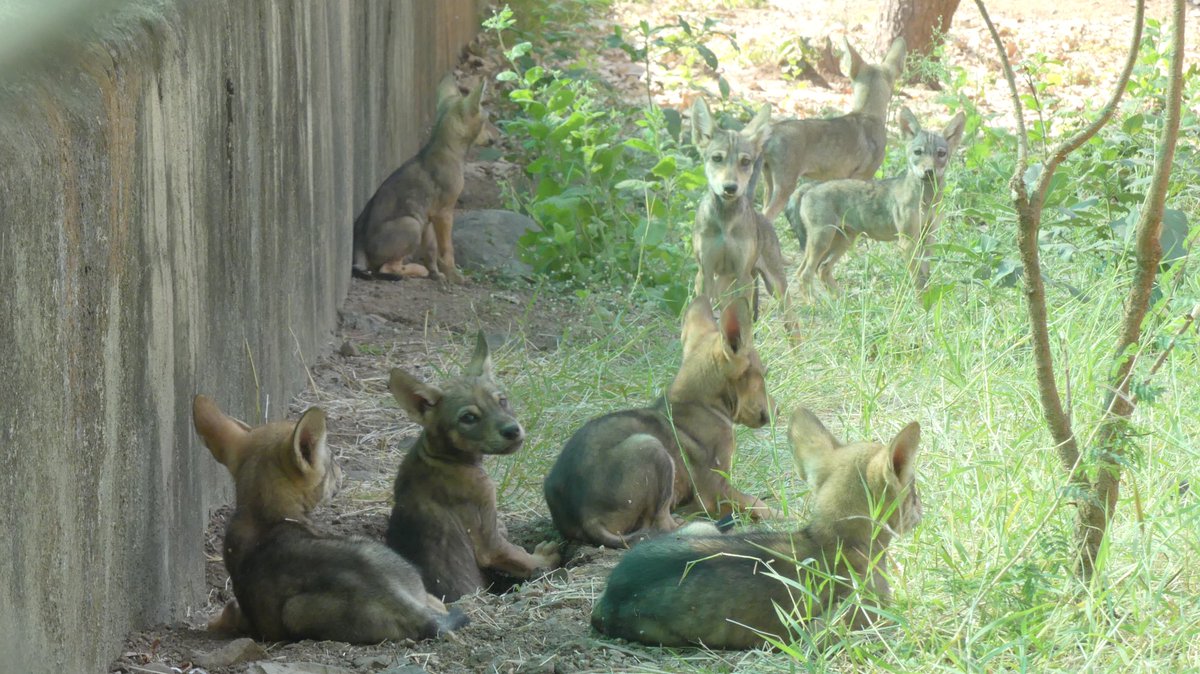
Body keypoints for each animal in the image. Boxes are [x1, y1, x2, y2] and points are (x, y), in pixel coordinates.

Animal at [352, 75, 485, 283]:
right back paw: (414, 270)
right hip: (411, 224)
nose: (495, 137)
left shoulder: (428, 217)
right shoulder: (444, 212)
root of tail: (357, 238)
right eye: (486, 120)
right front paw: (455, 276)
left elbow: (432, 251)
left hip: (417, 223)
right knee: (385, 269)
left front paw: (437, 274)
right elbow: (447, 250)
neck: (447, 149)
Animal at [386, 332, 561, 602]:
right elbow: (519, 556)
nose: (513, 430)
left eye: (502, 401)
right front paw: (544, 559)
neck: (444, 457)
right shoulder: (488, 540)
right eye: (468, 418)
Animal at [543, 296, 778, 549]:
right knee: (662, 523)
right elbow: (761, 505)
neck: (702, 403)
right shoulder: (715, 490)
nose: (777, 410)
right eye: (764, 375)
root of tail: (588, 518)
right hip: (652, 448)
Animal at [591, 407, 923, 649]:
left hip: (697, 528)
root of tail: (606, 599)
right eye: (914, 490)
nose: (922, 511)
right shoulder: (828, 629)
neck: (834, 538)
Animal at [788, 107, 966, 299]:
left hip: (841, 242)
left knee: (822, 269)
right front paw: (921, 303)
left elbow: (926, 278)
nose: (928, 171)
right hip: (822, 241)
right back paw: (815, 303)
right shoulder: (908, 242)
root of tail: (809, 187)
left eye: (941, 154)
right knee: (803, 274)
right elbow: (918, 280)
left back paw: (842, 302)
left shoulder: (928, 238)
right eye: (918, 152)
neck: (926, 199)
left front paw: (929, 301)